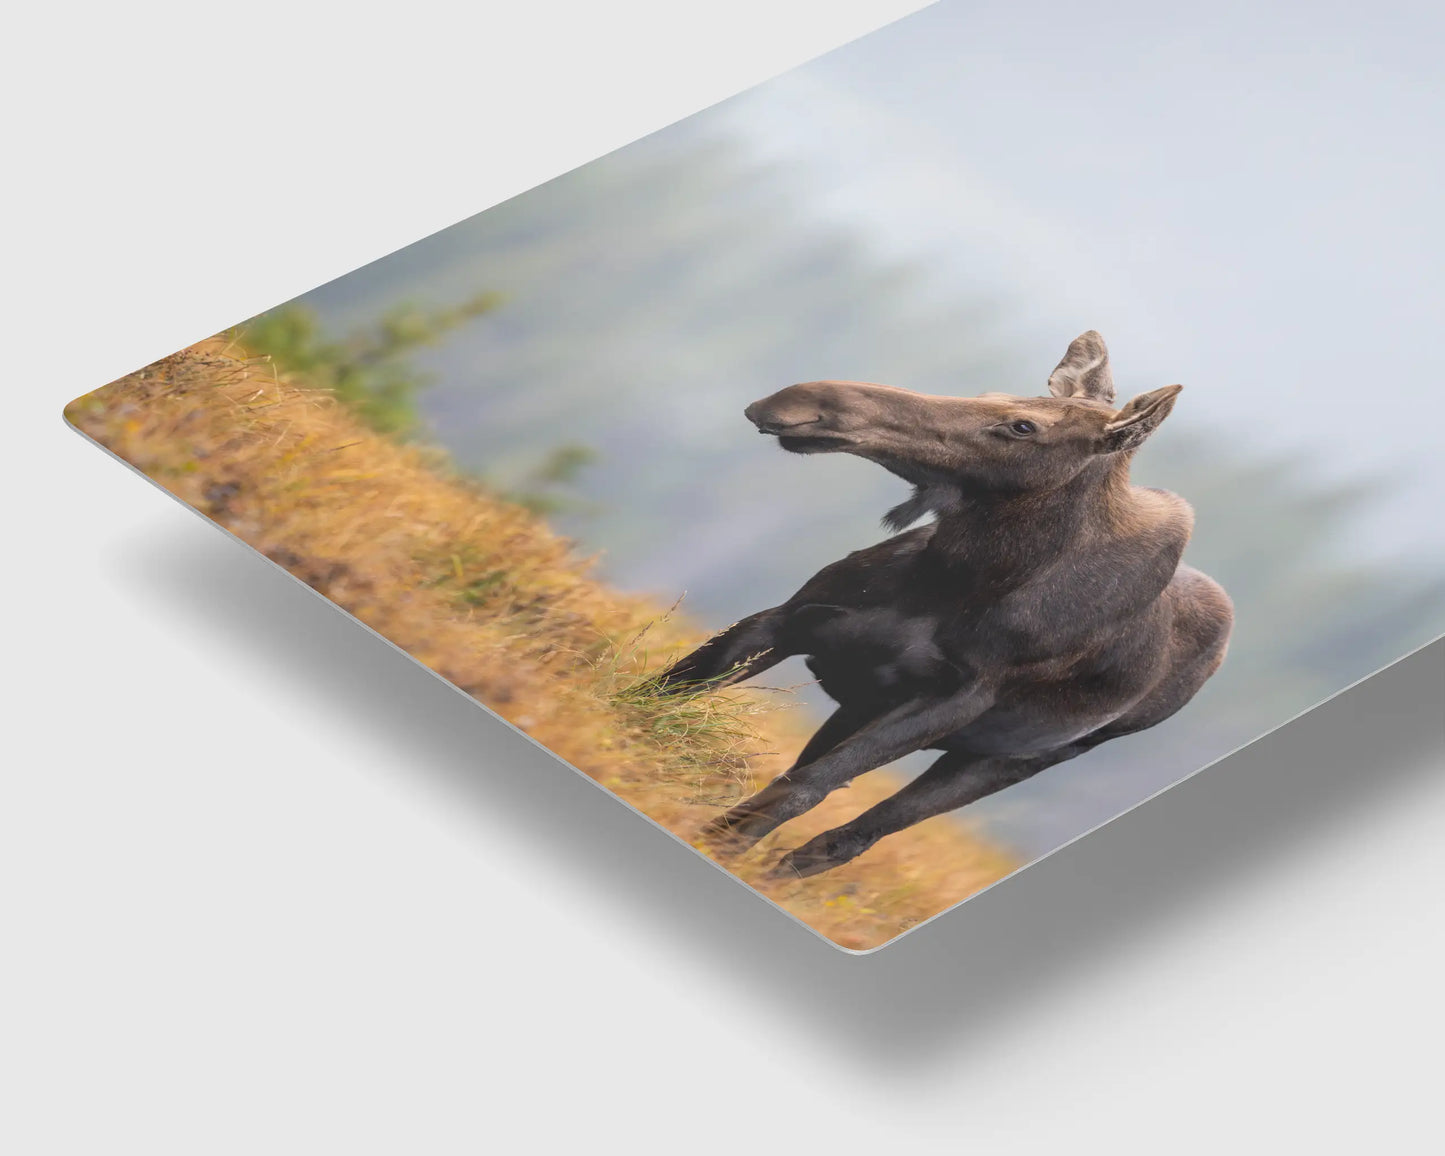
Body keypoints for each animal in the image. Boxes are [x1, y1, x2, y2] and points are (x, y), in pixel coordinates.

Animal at [657, 331, 1232, 879]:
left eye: (1023, 426)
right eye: (987, 395)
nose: (800, 401)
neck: (959, 578)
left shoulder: (953, 701)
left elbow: (806, 789)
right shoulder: (790, 618)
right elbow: (679, 686)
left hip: (1016, 757)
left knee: (851, 836)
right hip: (860, 705)